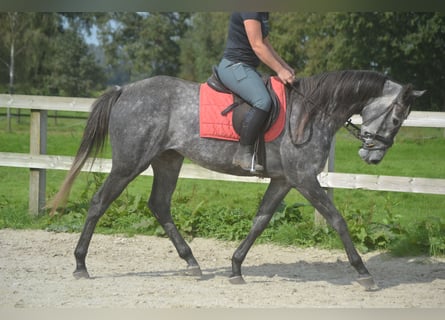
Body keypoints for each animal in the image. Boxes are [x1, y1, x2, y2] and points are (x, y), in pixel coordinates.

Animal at [51, 70, 424, 290]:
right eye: (396, 118)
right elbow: (337, 220)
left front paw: (235, 267)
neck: (311, 113)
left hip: (168, 160)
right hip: (130, 162)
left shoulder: (284, 180)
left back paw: (192, 262)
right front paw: (363, 273)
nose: (373, 157)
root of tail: (124, 89)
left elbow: (260, 220)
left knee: (159, 205)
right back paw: (80, 264)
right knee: (100, 202)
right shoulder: (304, 179)